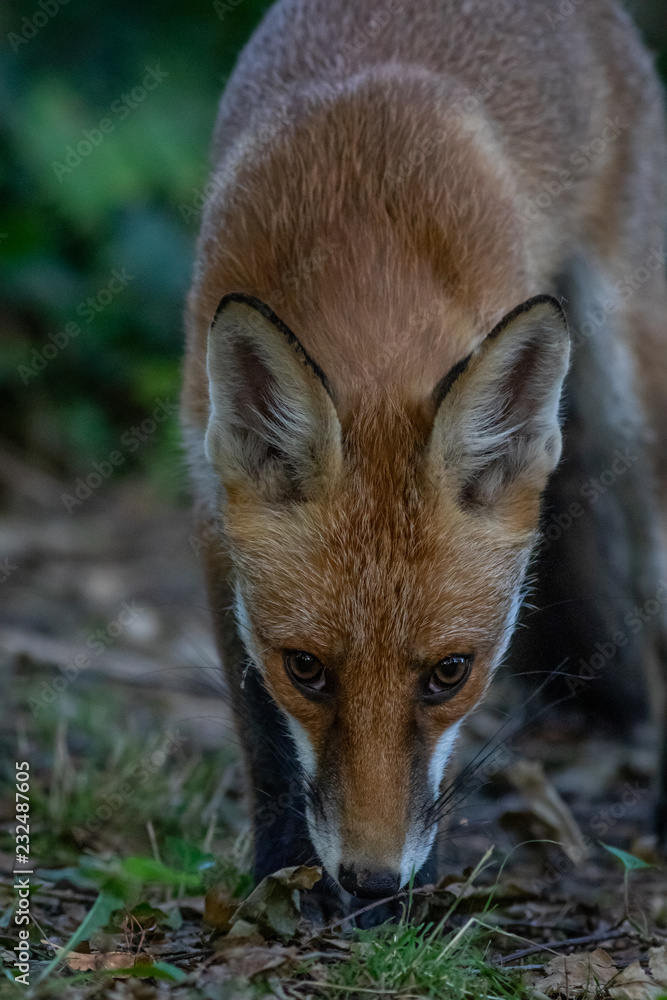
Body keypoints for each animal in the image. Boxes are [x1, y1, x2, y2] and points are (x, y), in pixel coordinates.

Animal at [181, 0, 667, 906]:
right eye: (305, 668)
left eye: (449, 673)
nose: (372, 883)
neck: (363, 243)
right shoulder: (208, 496)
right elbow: (262, 739)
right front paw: (280, 876)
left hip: (631, 397)